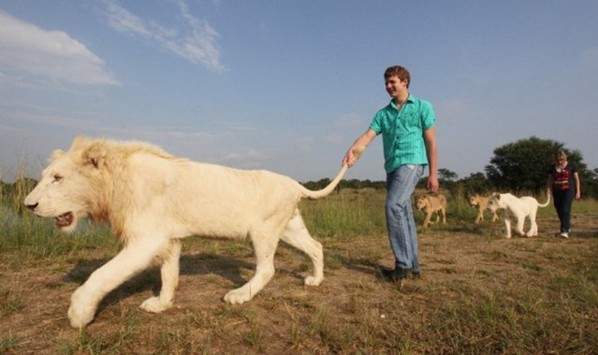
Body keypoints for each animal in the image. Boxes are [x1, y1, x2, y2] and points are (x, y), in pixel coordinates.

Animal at [25, 138, 364, 330]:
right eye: (46, 177)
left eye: (57, 178)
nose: (28, 205)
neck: (114, 183)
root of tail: (295, 184)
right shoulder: (167, 238)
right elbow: (169, 273)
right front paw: (161, 304)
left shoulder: (146, 239)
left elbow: (102, 274)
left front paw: (78, 312)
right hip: (289, 227)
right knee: (316, 246)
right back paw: (316, 280)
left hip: (264, 229)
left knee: (268, 268)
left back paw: (239, 295)